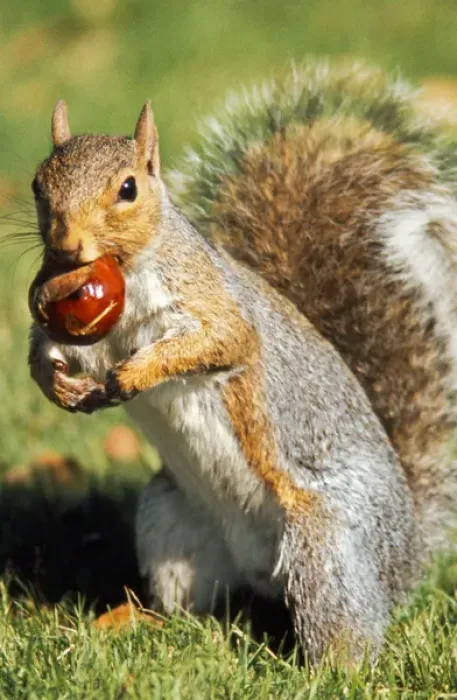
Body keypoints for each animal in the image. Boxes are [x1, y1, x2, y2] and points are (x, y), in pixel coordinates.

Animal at [28, 61, 457, 664]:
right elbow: (47, 350)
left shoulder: (211, 303)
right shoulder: (68, 323)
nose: (67, 246)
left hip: (329, 545)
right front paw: (57, 386)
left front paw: (138, 372)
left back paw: (335, 667)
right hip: (171, 521)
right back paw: (145, 624)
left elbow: (222, 342)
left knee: (343, 622)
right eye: (38, 185)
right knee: (188, 601)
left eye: (129, 188)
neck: (128, 271)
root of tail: (407, 553)